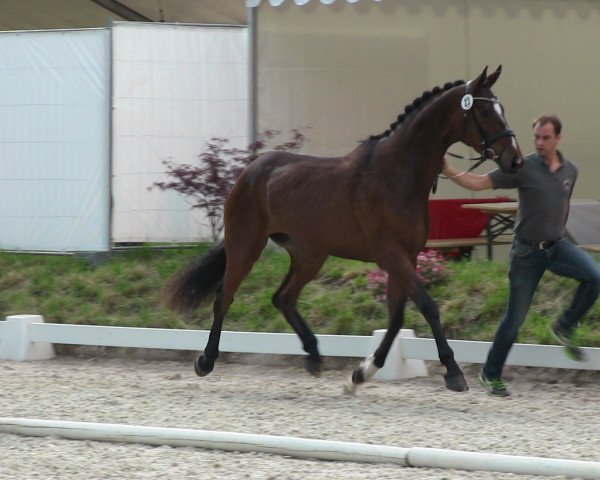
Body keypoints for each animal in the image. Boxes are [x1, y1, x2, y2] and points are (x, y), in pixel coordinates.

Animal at [162, 65, 524, 392]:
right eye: (484, 111)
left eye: (503, 109)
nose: (515, 161)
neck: (397, 174)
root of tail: (250, 171)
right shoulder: (390, 254)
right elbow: (427, 305)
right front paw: (453, 372)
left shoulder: (405, 257)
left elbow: (396, 318)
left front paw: (361, 374)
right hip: (246, 246)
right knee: (225, 296)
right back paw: (206, 361)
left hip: (309, 255)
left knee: (283, 298)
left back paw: (314, 357)